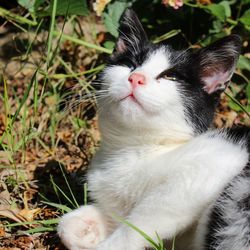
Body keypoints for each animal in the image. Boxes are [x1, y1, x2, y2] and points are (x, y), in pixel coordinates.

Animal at [57, 8, 250, 250]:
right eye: (130, 64)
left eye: (170, 76)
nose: (135, 78)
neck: (134, 149)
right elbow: (69, 224)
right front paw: (87, 227)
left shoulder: (216, 161)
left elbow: (144, 217)